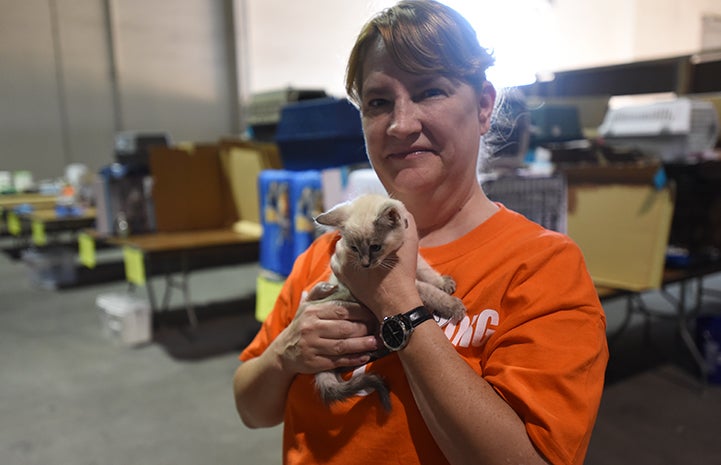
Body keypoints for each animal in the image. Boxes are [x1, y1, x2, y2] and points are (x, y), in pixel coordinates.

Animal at [310, 193, 466, 410]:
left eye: (375, 247)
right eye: (354, 248)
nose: (365, 264)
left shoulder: (413, 259)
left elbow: (427, 271)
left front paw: (443, 282)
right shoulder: (411, 283)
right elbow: (430, 291)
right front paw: (452, 305)